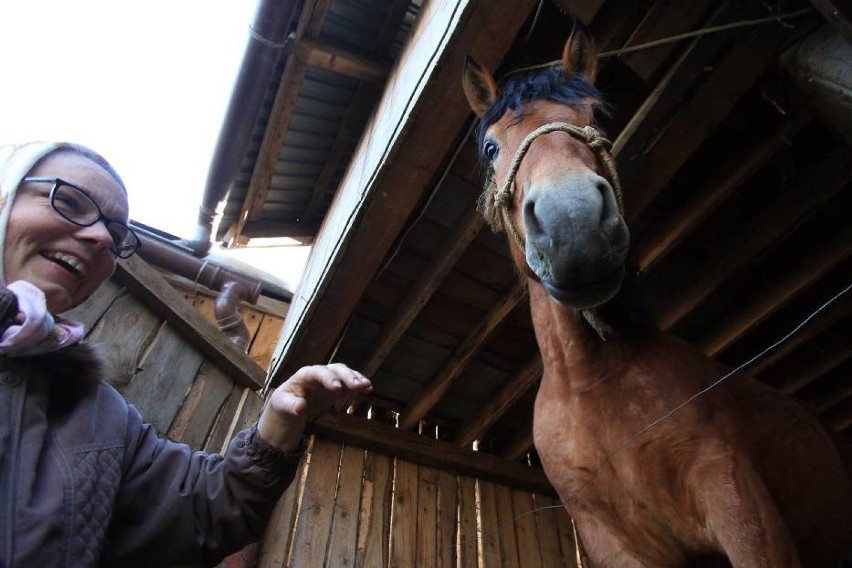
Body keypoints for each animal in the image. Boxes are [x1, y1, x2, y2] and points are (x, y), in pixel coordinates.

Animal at [466, 24, 852, 564]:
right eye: (491, 148)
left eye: (598, 117)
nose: (573, 223)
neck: (589, 383)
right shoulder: (611, 543)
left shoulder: (738, 502)